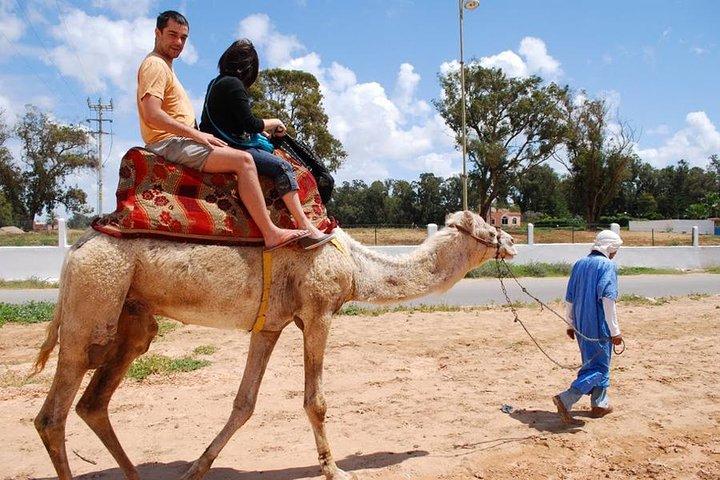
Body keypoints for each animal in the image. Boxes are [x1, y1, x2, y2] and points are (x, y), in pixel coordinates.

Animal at [32, 210, 516, 480]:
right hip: (92, 304)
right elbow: (315, 401)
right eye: (488, 229)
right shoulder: (319, 311)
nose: (510, 241)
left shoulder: (270, 325)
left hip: (132, 318)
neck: (356, 266)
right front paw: (334, 469)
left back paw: (134, 474)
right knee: (52, 414)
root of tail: (76, 250)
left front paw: (195, 468)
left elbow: (244, 404)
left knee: (94, 402)